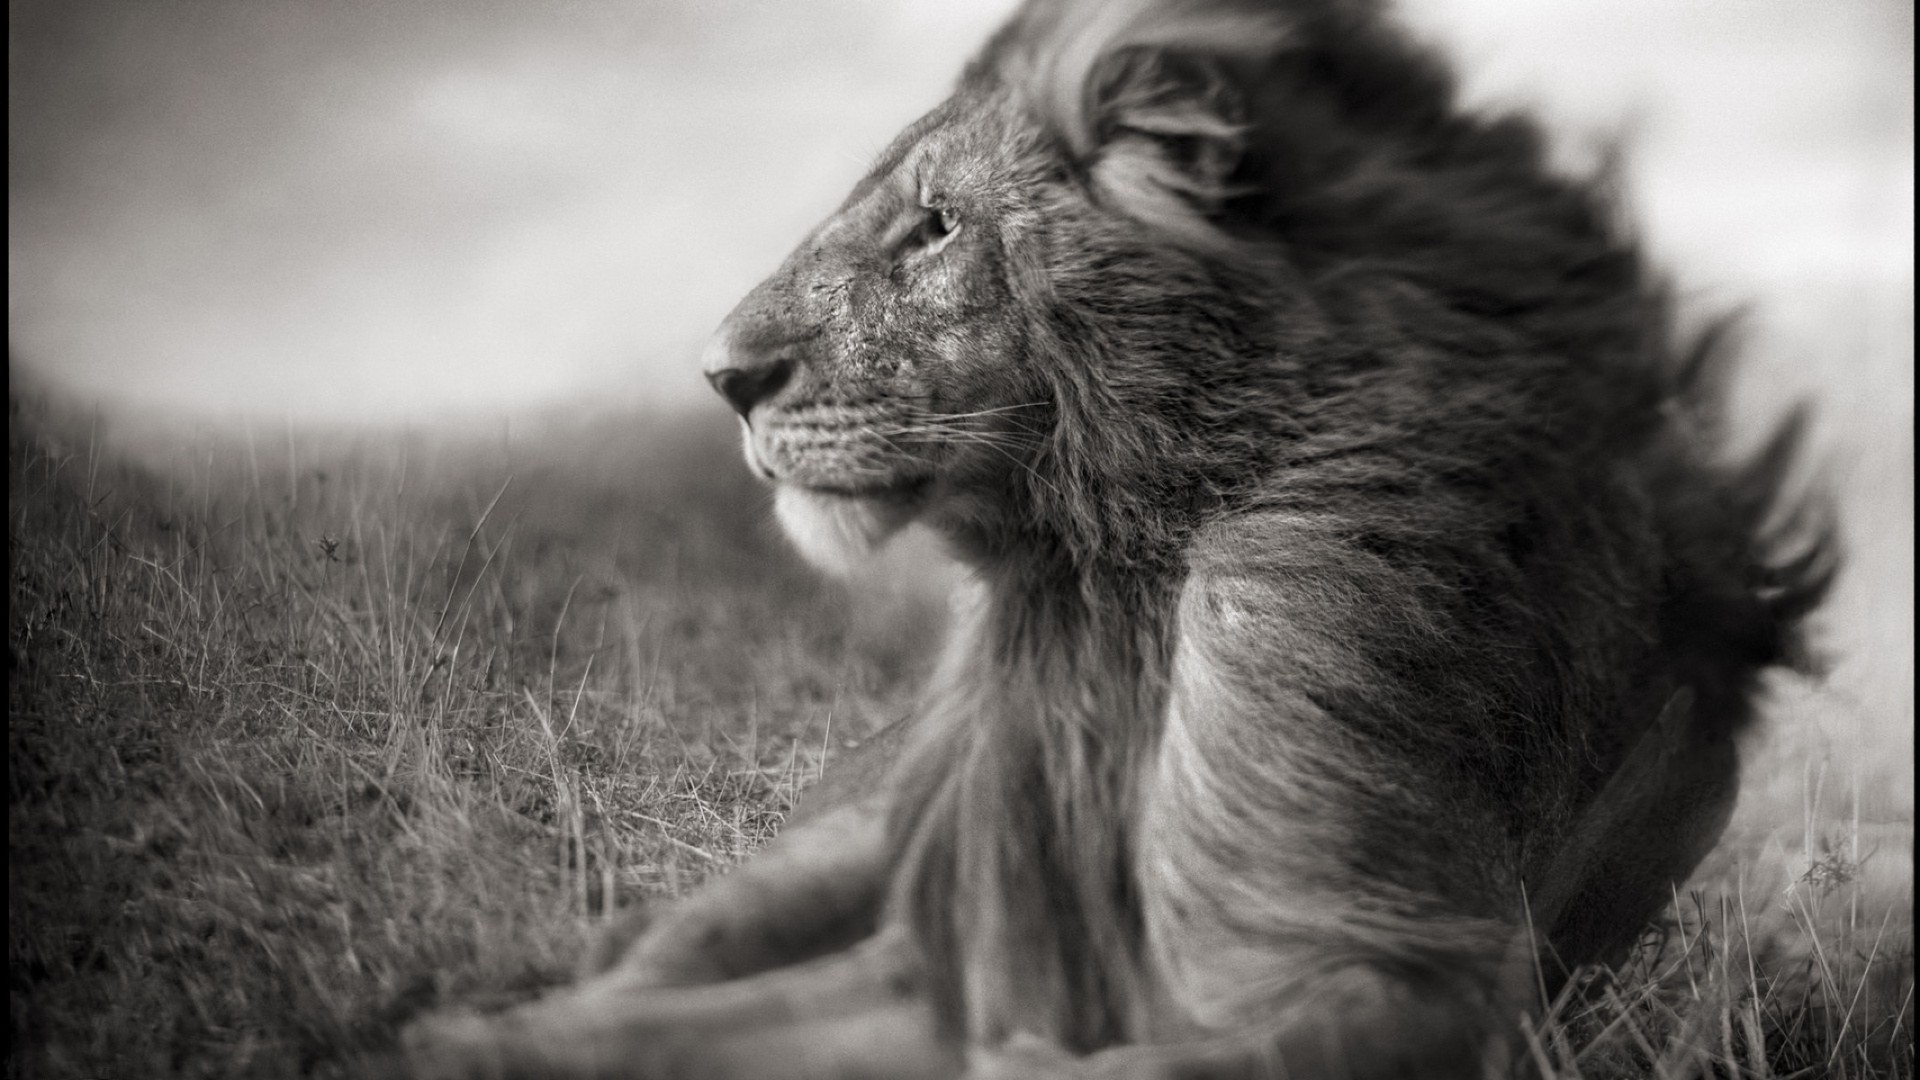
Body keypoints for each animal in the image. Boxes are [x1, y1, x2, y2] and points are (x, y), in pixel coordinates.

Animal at [401, 0, 1827, 1068]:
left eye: (936, 225)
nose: (721, 378)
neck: (1112, 584)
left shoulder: (1397, 971)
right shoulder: (958, 951)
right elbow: (651, 1029)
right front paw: (456, 1040)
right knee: (670, 946)